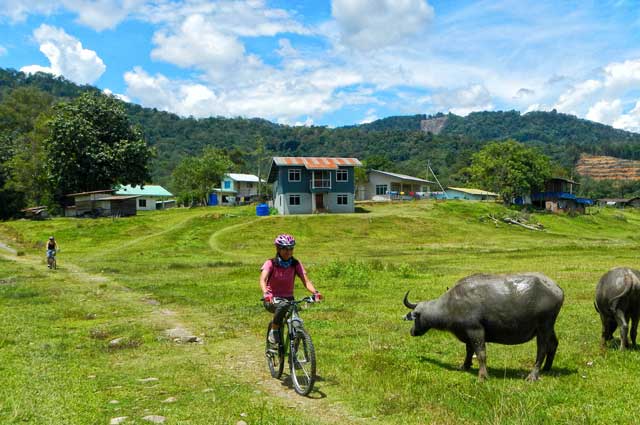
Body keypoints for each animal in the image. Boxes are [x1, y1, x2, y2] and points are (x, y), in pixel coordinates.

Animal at [404, 274, 564, 380]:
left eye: (415, 318)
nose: (411, 331)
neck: (451, 305)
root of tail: (557, 289)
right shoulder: (467, 333)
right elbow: (469, 351)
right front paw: (464, 366)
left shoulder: (476, 330)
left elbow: (481, 353)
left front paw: (482, 376)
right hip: (549, 327)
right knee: (554, 344)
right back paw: (547, 369)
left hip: (543, 327)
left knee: (542, 350)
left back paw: (533, 375)